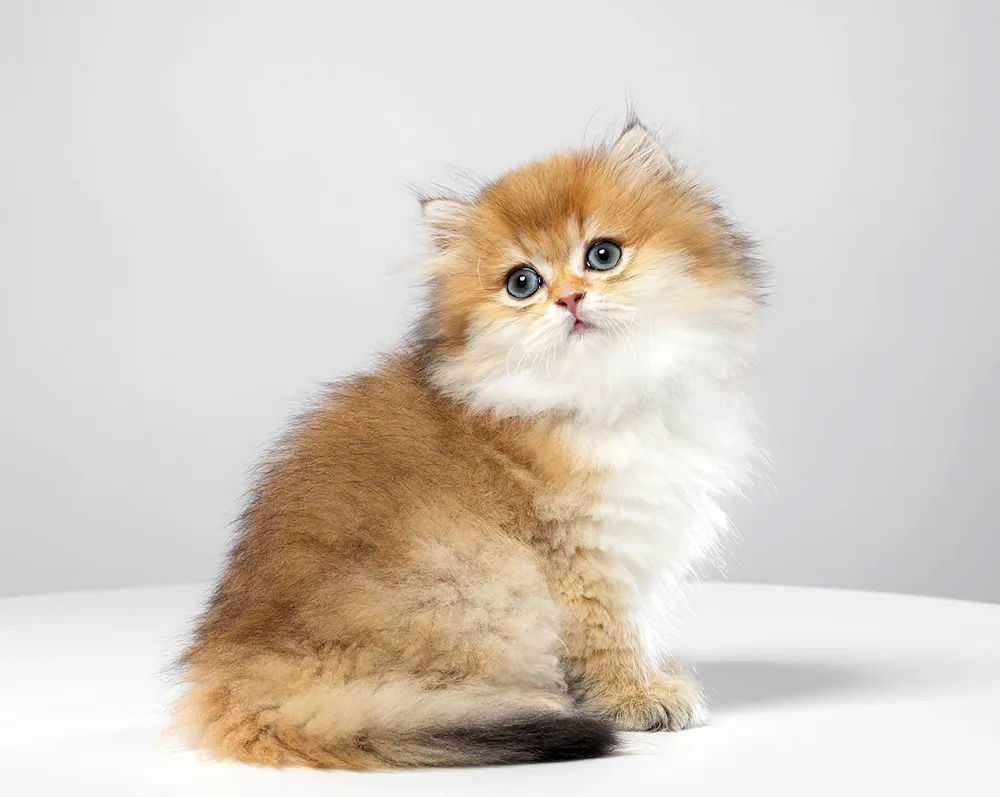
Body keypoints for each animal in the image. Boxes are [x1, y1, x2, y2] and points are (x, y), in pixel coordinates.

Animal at [176, 119, 760, 772]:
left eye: (602, 255)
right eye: (522, 283)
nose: (569, 299)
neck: (602, 390)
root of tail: (233, 672)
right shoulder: (582, 556)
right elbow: (610, 637)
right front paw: (637, 697)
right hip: (474, 583)